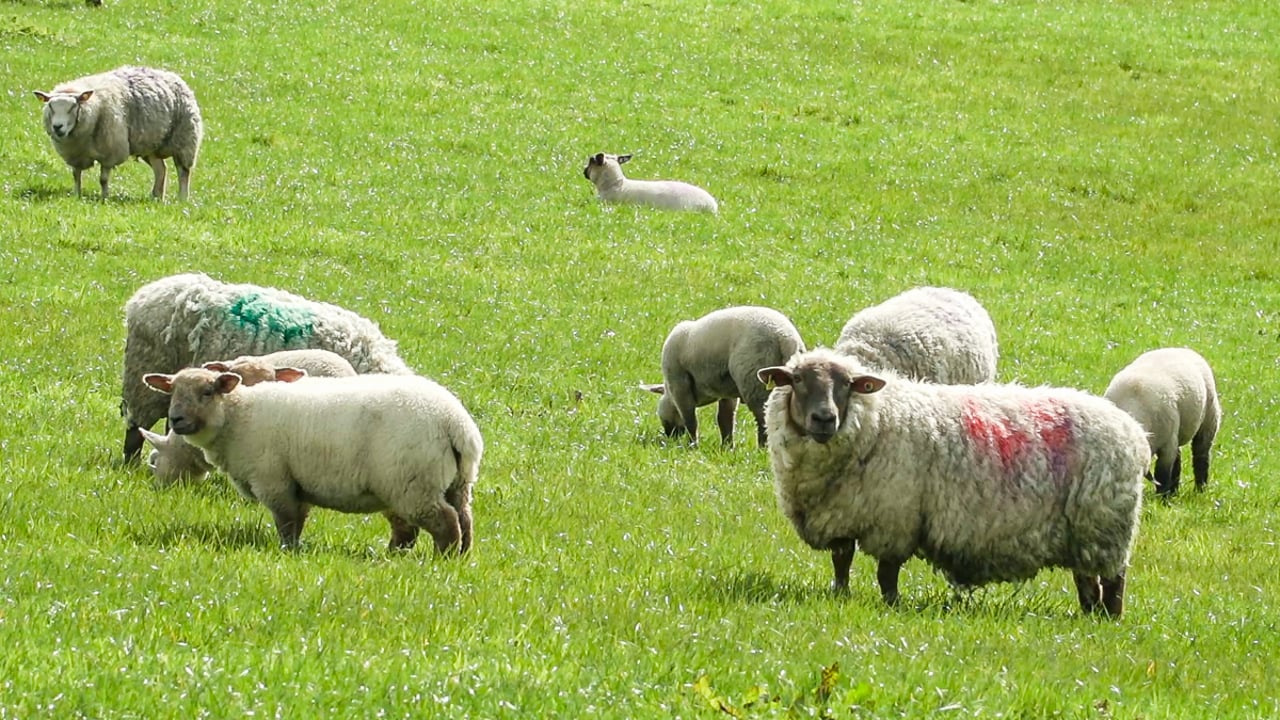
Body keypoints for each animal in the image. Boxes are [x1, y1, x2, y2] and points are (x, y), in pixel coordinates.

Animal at [33, 66, 203, 200]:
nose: (57, 127)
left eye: (73, 107)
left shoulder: (110, 152)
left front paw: (104, 198)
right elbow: (76, 176)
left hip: (185, 139)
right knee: (161, 170)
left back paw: (182, 199)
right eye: (51, 106)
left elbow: (103, 179)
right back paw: (156, 197)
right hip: (151, 145)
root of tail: (172, 75)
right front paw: (77, 196)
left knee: (183, 171)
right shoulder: (75, 155)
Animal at [142, 368, 482, 554]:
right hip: (456, 482)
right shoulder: (296, 485)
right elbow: (299, 519)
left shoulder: (274, 481)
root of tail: (455, 423)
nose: (176, 419)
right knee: (462, 519)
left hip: (412, 483)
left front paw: (287, 552)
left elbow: (286, 523)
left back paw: (441, 560)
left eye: (208, 391)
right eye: (172, 390)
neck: (238, 416)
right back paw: (454, 558)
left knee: (445, 523)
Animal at [641, 306, 805, 447]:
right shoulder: (726, 390)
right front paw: (727, 447)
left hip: (753, 377)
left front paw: (692, 446)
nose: (669, 436)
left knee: (763, 417)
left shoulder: (679, 383)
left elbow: (690, 420)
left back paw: (762, 448)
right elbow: (725, 419)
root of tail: (785, 337)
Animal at [757, 348, 1149, 617]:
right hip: (1082, 533)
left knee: (1114, 581)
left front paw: (891, 605)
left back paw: (1109, 620)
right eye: (797, 381)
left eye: (847, 386)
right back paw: (1089, 616)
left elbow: (886, 573)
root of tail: (1134, 432)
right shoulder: (842, 514)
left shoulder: (896, 519)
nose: (825, 418)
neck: (876, 421)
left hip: (1104, 524)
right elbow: (842, 562)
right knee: (1087, 580)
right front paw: (841, 596)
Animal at [1104, 347, 1221, 497]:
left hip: (1208, 420)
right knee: (1178, 458)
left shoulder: (1167, 445)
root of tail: (1181, 348)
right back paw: (1175, 491)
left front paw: (1162, 497)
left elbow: (1162, 474)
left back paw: (1200, 489)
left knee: (1201, 456)